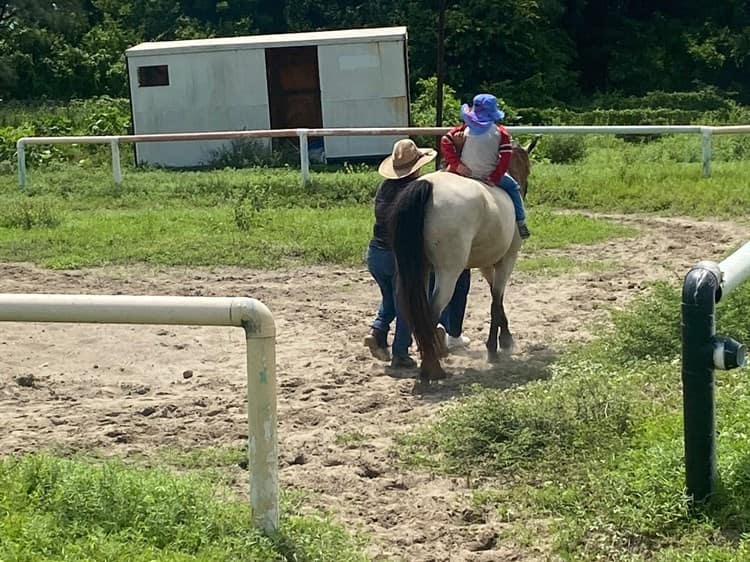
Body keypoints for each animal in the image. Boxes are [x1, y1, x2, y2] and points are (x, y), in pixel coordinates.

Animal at [390, 139, 536, 380]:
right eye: (527, 169)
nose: (524, 189)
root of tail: (427, 187)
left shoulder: (487, 264)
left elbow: (497, 299)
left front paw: (505, 340)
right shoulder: (507, 260)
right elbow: (496, 301)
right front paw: (494, 350)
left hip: (417, 270)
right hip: (448, 273)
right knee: (431, 312)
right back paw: (432, 368)